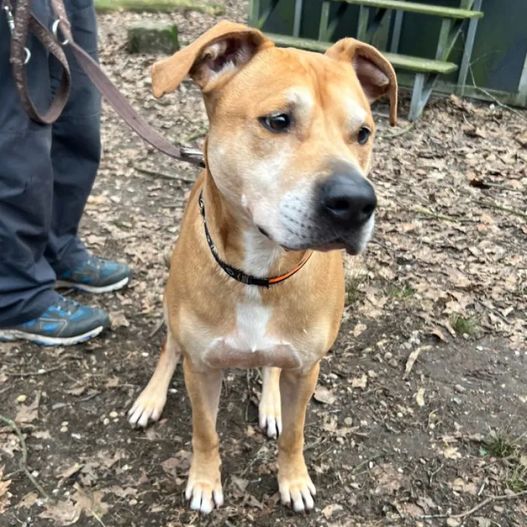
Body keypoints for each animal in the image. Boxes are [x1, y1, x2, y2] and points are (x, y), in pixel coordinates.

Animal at [128, 20, 397, 514]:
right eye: (278, 121)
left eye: (363, 133)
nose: (356, 203)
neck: (260, 269)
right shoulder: (202, 368)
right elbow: (205, 430)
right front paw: (204, 480)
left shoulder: (306, 369)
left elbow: (295, 433)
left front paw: (293, 478)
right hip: (172, 306)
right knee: (170, 347)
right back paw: (152, 396)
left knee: (272, 368)